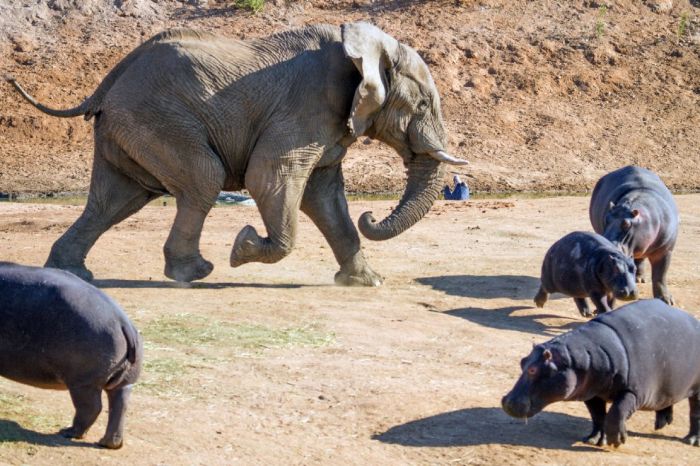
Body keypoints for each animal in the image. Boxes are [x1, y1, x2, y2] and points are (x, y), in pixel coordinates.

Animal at [0, 262, 142, 448]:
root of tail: (123, 322)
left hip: (82, 382)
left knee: (91, 407)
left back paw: (68, 432)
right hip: (124, 382)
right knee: (119, 405)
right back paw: (108, 443)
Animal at [9, 23, 464, 286]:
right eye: (423, 104)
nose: (371, 214)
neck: (364, 49)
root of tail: (110, 78)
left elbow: (324, 197)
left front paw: (367, 282)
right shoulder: (306, 107)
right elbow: (271, 178)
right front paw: (243, 246)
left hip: (127, 127)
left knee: (117, 199)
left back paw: (72, 273)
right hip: (156, 118)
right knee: (201, 179)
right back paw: (195, 273)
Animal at [504, 298, 700, 448]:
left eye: (533, 369)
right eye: (522, 361)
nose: (506, 401)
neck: (581, 357)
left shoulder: (634, 391)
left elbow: (616, 412)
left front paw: (617, 441)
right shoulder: (592, 392)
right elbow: (598, 416)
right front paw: (593, 439)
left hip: (696, 388)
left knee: (695, 411)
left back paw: (692, 441)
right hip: (669, 381)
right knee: (667, 400)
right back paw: (661, 423)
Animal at [588, 166, 680, 304]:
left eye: (626, 224)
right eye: (606, 219)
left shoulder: (665, 250)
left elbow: (660, 276)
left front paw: (667, 300)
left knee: (640, 259)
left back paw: (640, 279)